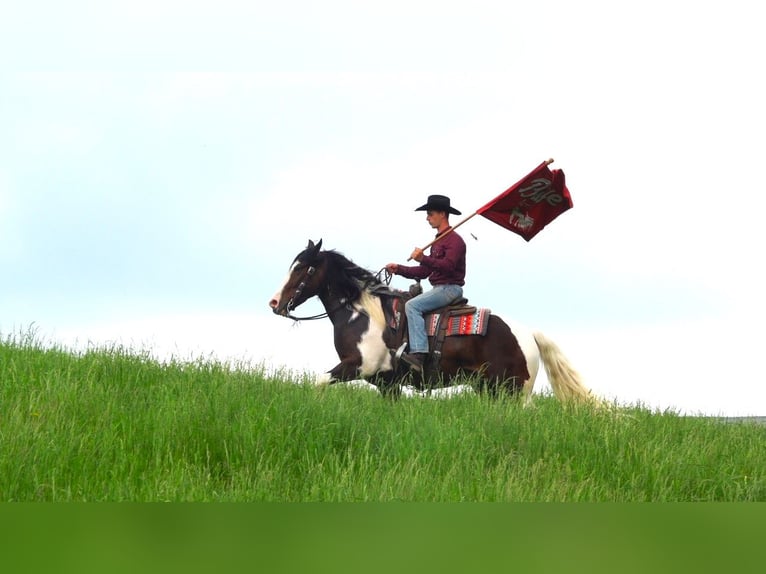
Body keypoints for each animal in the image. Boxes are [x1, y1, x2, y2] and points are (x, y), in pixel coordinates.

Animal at [270, 238, 600, 404]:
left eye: (302, 268)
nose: (274, 303)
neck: (362, 314)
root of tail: (529, 334)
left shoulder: (358, 366)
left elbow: (319, 382)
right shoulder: (387, 384)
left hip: (513, 391)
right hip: (489, 389)